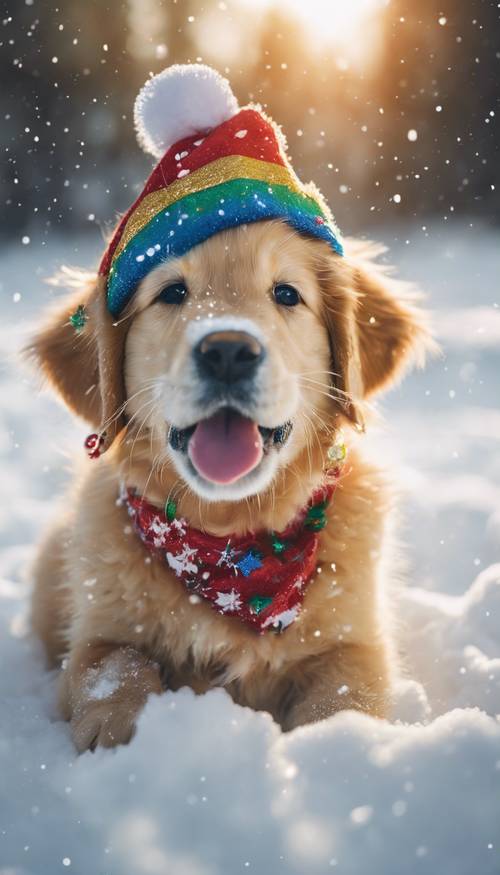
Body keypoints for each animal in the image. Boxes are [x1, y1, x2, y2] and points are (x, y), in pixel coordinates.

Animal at [26, 68, 430, 752]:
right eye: (172, 293)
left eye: (287, 294)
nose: (228, 351)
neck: (232, 544)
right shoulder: (99, 636)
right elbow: (116, 667)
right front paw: (117, 736)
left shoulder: (354, 647)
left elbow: (343, 699)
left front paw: (333, 749)